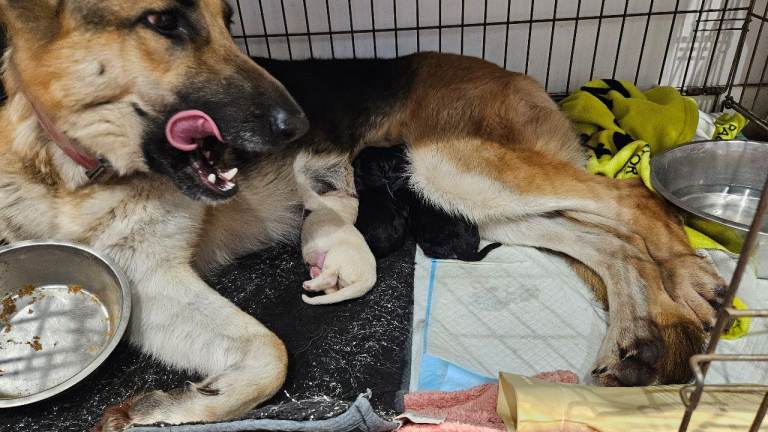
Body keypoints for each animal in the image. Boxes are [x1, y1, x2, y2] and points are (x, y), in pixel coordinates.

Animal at [294, 151, 377, 305]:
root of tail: (368, 281)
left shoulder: (315, 200)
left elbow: (302, 183)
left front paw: (299, 162)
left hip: (335, 255)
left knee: (330, 278)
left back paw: (310, 284)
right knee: (331, 289)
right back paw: (314, 274)